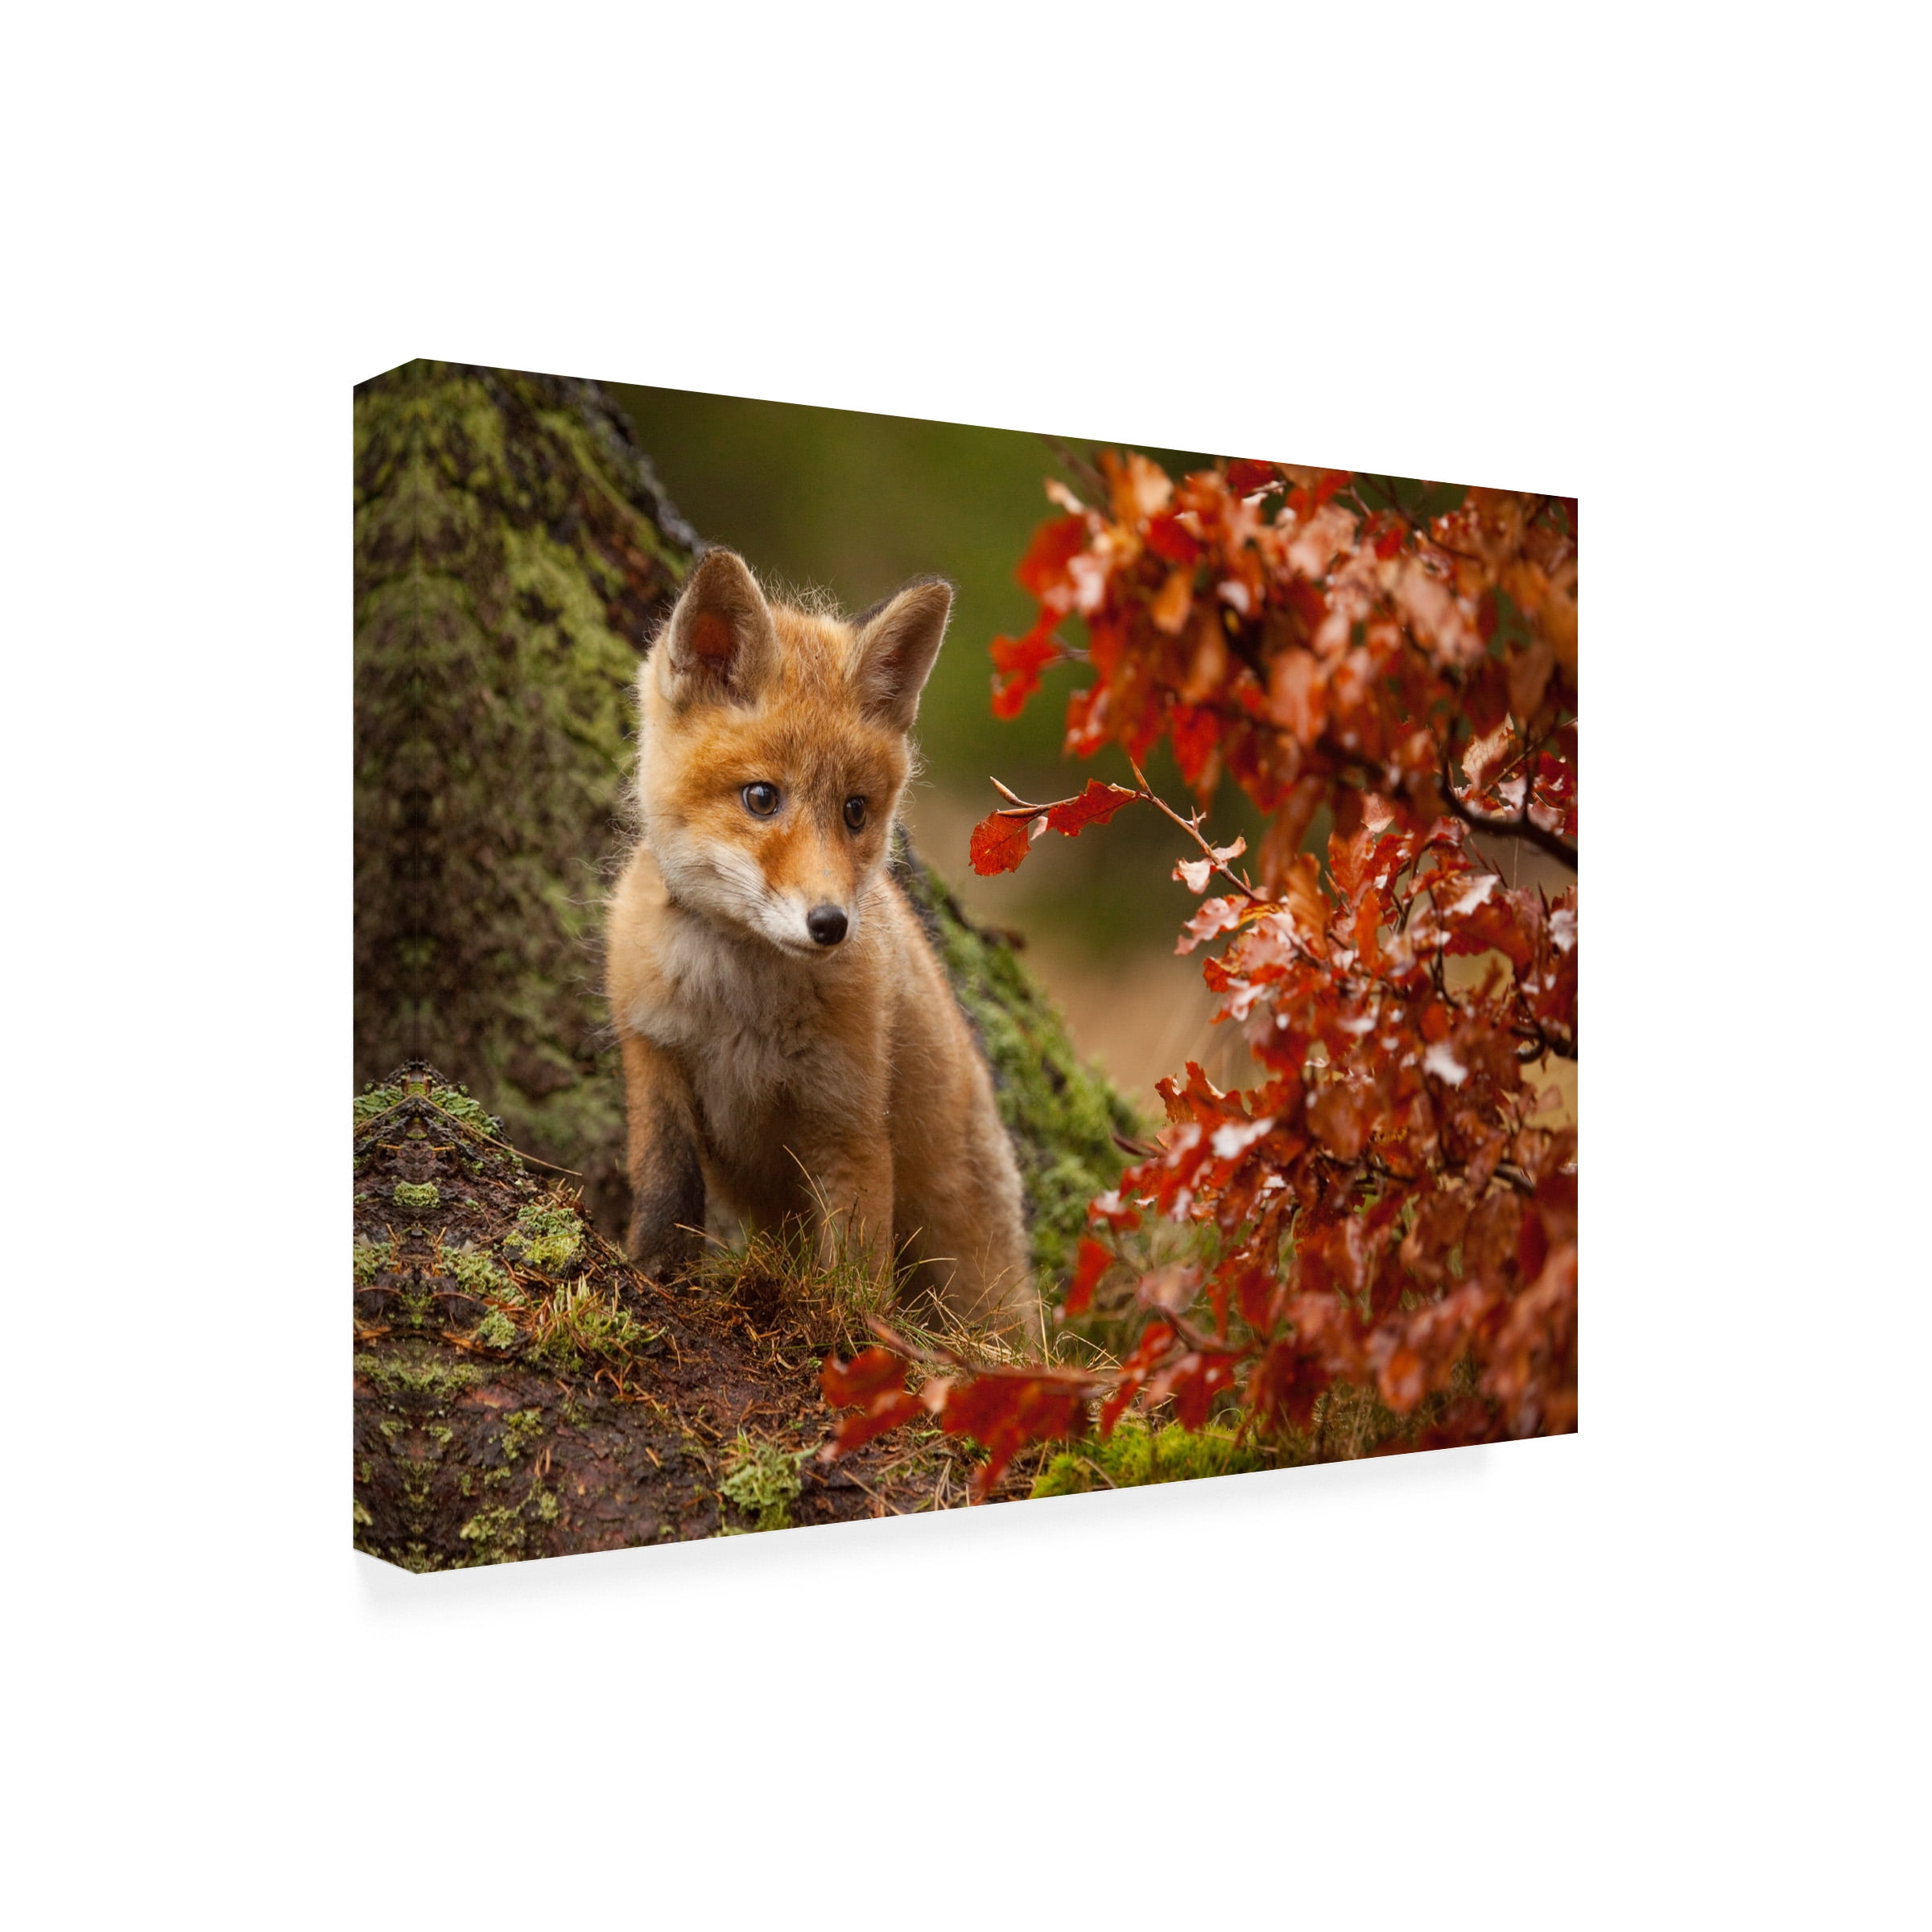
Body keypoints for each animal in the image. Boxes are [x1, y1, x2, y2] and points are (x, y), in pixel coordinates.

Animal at [604, 548, 1032, 1331]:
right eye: (761, 798)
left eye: (855, 811)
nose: (831, 925)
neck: (737, 1003)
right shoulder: (653, 1059)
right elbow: (664, 1193)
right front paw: (651, 1275)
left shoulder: (847, 1118)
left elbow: (854, 1270)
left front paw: (851, 1336)